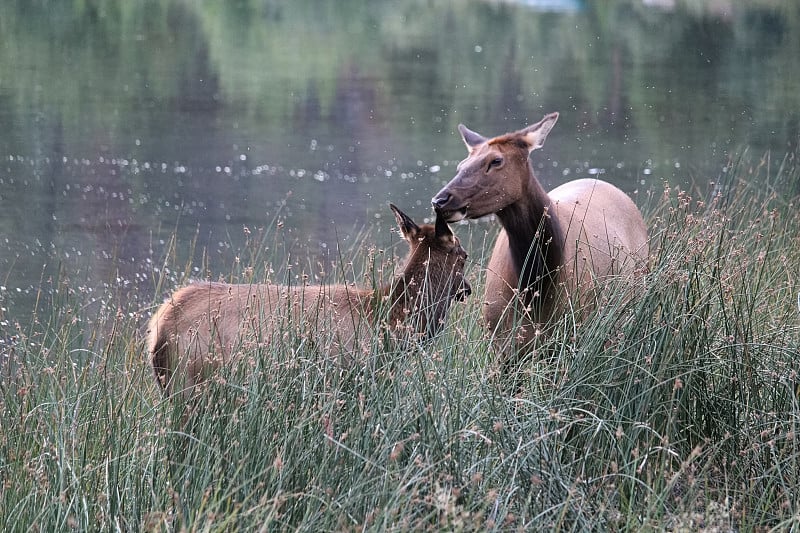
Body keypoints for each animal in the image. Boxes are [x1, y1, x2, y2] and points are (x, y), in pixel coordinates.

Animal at [148, 204, 472, 394]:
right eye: (464, 256)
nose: (467, 289)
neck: (392, 318)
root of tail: (158, 328)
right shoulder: (351, 371)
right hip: (195, 378)